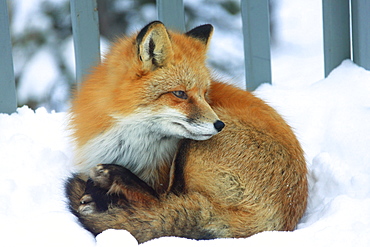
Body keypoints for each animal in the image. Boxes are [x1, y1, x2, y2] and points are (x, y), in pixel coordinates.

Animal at [66, 20, 306, 243]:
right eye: (180, 93)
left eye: (204, 93)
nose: (219, 125)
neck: (129, 142)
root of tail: (275, 223)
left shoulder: (162, 176)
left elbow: (155, 199)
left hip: (189, 151)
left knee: (159, 205)